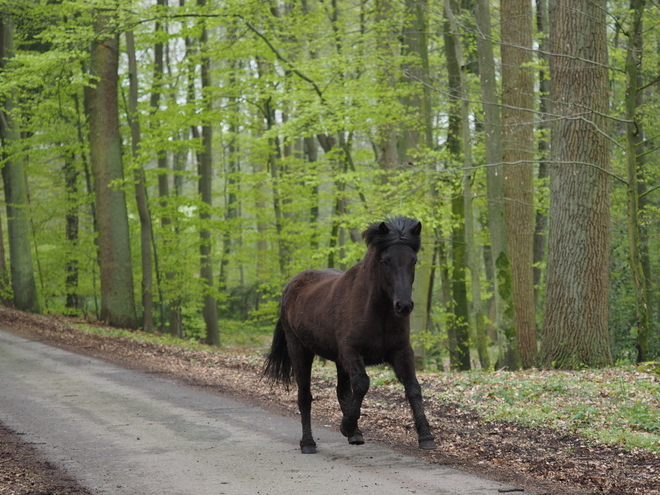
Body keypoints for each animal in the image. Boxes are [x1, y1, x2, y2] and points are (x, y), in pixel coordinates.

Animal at [262, 216, 438, 454]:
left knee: (341, 391)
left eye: (414, 261)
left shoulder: (401, 352)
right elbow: (363, 383)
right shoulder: (351, 351)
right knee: (305, 396)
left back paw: (354, 432)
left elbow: (413, 387)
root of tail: (291, 286)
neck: (377, 311)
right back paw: (308, 443)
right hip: (300, 350)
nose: (404, 306)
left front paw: (426, 436)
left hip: (337, 360)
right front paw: (346, 425)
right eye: (386, 261)